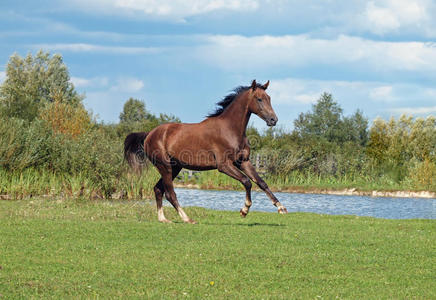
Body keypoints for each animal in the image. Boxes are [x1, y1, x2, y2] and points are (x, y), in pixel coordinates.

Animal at [124, 79, 288, 223]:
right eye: (259, 99)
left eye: (269, 98)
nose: (273, 120)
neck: (230, 130)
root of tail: (149, 134)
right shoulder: (224, 166)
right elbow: (247, 182)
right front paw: (244, 210)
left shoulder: (243, 162)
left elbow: (261, 182)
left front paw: (281, 208)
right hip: (165, 167)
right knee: (170, 193)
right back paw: (187, 219)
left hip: (175, 167)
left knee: (158, 189)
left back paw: (163, 219)